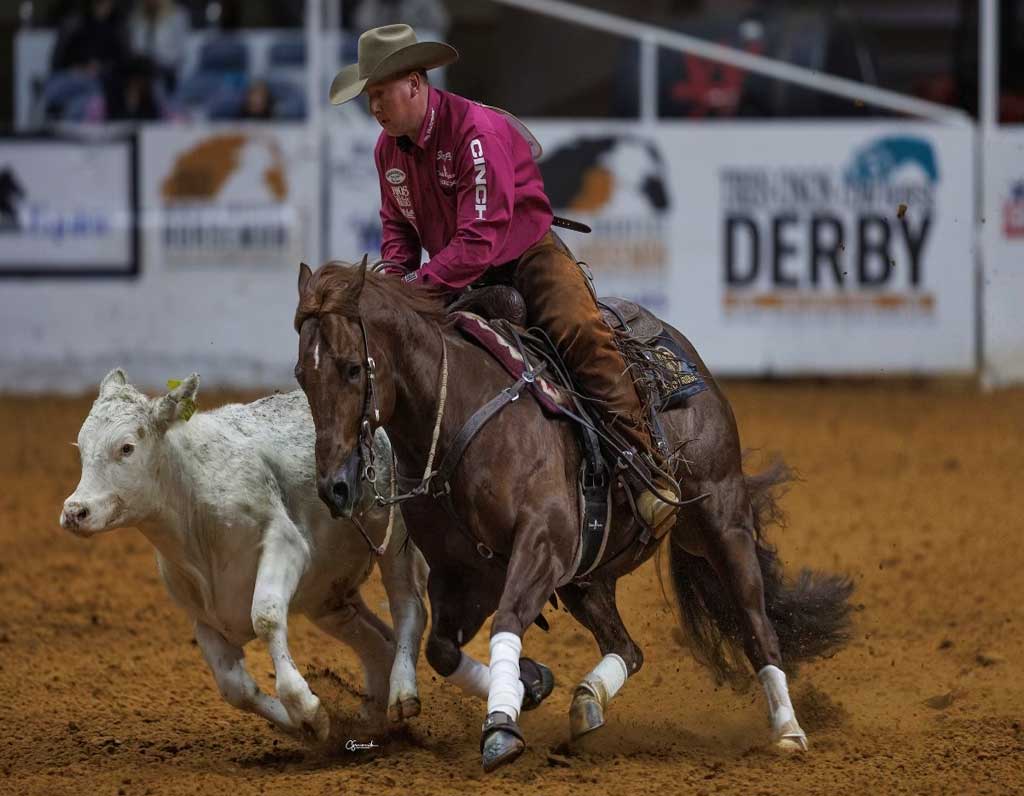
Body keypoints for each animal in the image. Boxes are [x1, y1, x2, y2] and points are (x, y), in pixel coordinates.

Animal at [60, 368, 427, 742]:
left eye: (126, 447)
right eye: (82, 447)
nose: (75, 511)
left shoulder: (284, 542)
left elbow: (265, 617)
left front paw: (306, 707)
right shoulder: (204, 617)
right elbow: (234, 687)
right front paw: (306, 724)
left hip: (395, 537)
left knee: (408, 607)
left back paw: (402, 695)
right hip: (326, 595)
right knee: (377, 642)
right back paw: (373, 717)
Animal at [292, 257, 853, 772]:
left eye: (352, 367)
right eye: (302, 374)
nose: (335, 486)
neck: (457, 415)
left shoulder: (541, 546)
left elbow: (507, 622)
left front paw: (502, 727)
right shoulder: (463, 575)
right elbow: (442, 651)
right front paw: (530, 686)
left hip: (722, 518)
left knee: (757, 622)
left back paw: (788, 729)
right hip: (589, 575)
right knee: (629, 648)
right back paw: (587, 702)